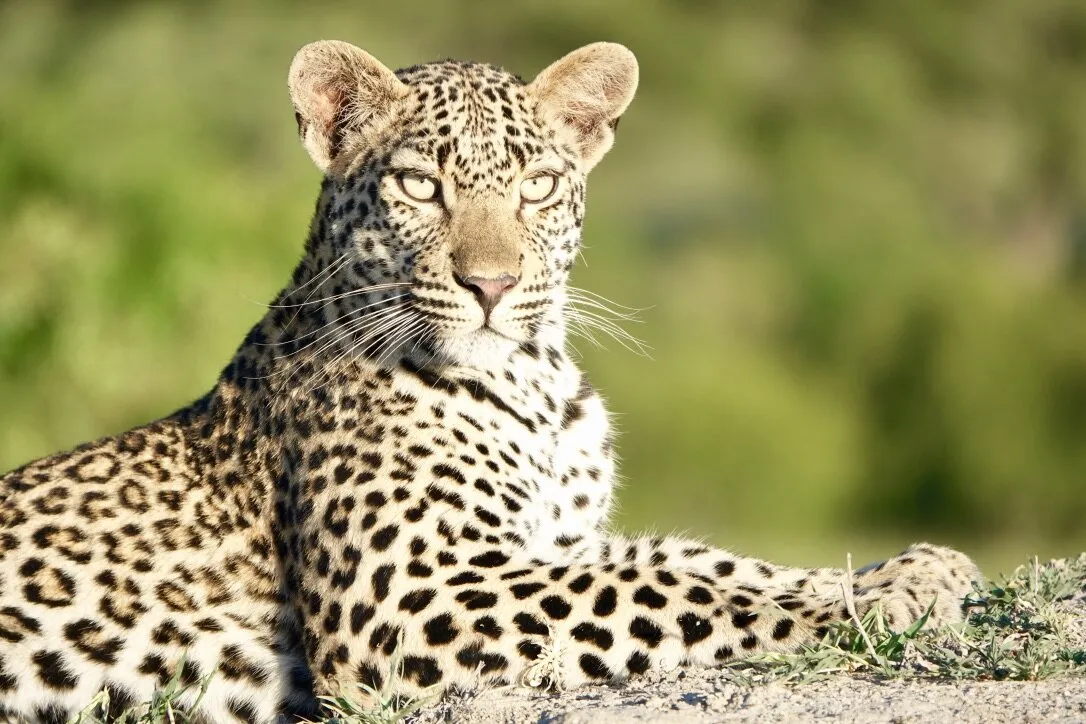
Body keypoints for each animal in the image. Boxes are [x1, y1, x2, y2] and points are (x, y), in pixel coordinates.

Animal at [0, 40, 983, 723]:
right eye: (417, 186)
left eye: (539, 186)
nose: (492, 284)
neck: (536, 384)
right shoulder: (411, 594)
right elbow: (676, 594)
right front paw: (889, 600)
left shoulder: (550, 541)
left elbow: (692, 561)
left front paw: (915, 569)